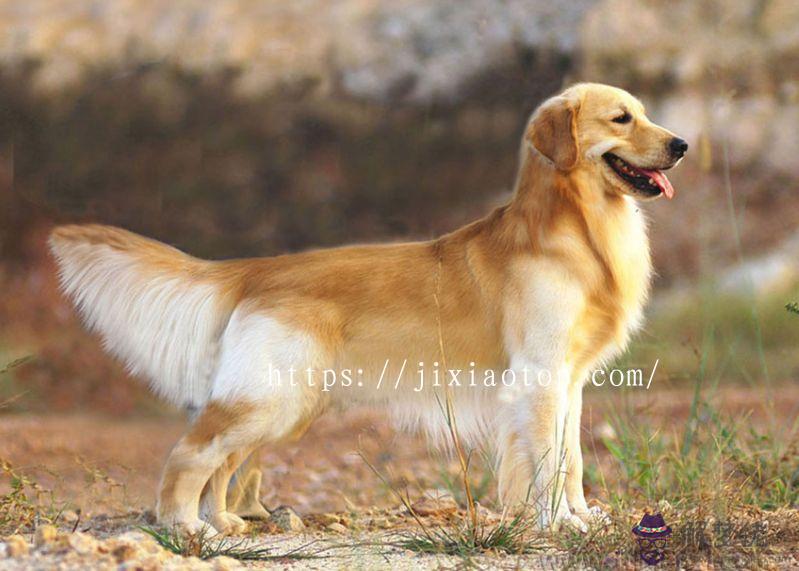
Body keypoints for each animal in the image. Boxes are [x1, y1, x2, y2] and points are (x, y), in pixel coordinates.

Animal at [49, 83, 686, 535]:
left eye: (643, 112)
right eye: (622, 118)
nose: (681, 145)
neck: (575, 231)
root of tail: (255, 269)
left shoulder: (568, 383)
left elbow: (572, 458)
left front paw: (580, 516)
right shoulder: (538, 378)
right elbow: (549, 461)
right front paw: (557, 523)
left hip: (283, 405)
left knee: (224, 461)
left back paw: (224, 520)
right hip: (268, 395)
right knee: (191, 451)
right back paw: (184, 528)